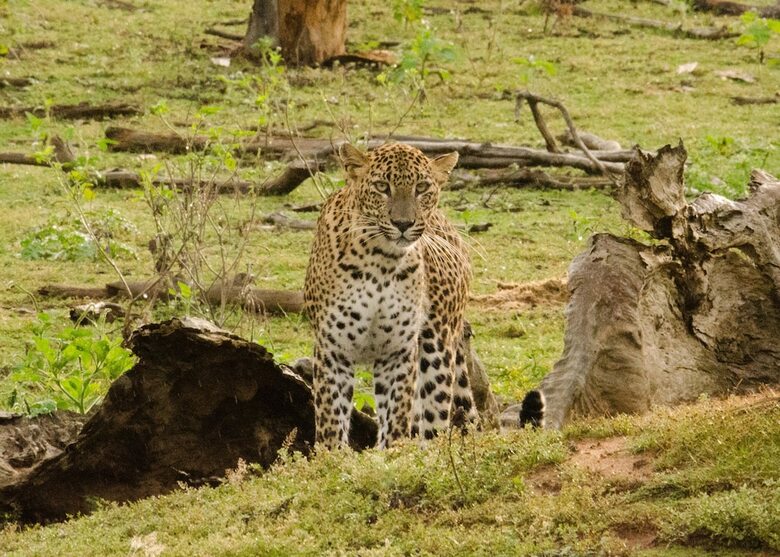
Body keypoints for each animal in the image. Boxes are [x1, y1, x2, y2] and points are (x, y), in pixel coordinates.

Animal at [304, 142, 477, 450]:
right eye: (382, 187)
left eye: (422, 187)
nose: (403, 223)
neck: (381, 262)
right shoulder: (332, 350)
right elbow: (331, 423)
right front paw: (332, 457)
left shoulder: (397, 351)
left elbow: (396, 418)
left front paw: (391, 457)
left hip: (438, 348)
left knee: (432, 422)